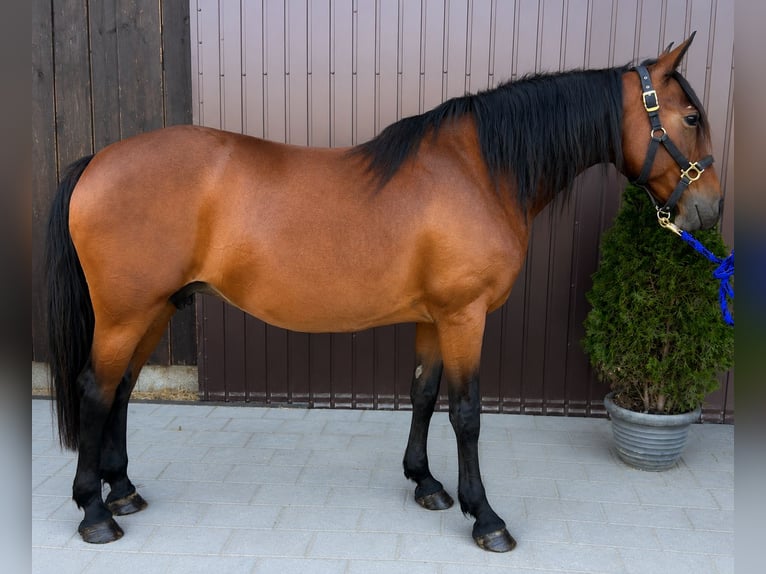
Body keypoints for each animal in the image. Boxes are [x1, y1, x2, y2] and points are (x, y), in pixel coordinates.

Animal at [45, 34, 721, 551]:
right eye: (691, 118)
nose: (708, 210)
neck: (478, 171)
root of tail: (97, 160)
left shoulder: (434, 317)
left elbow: (422, 393)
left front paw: (425, 484)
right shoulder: (465, 316)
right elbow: (467, 413)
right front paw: (486, 517)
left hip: (154, 309)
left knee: (122, 391)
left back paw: (122, 491)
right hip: (126, 313)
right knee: (96, 389)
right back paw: (95, 513)